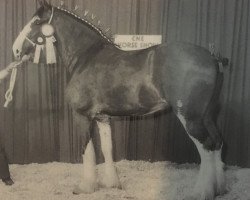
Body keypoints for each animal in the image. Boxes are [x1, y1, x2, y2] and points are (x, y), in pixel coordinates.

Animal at [11, 1, 227, 200]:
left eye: (36, 21)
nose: (15, 50)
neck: (86, 57)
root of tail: (212, 57)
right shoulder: (102, 117)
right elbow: (107, 148)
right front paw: (111, 183)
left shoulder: (82, 116)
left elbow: (88, 150)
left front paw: (85, 187)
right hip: (208, 116)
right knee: (217, 141)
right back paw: (219, 189)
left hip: (190, 117)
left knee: (206, 146)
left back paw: (202, 192)